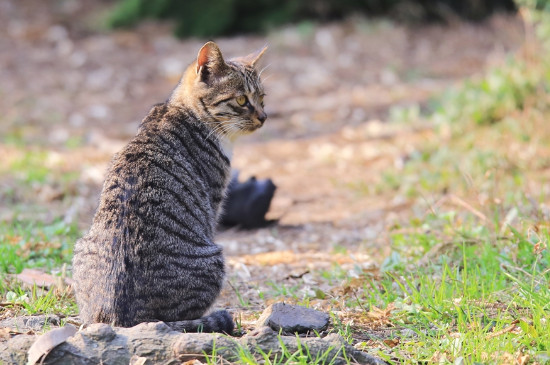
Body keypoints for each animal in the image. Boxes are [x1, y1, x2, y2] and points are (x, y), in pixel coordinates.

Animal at [72, 40, 268, 332]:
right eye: (242, 100)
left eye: (263, 98)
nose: (264, 116)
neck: (180, 111)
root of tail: (123, 320)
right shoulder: (213, 202)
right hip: (214, 258)